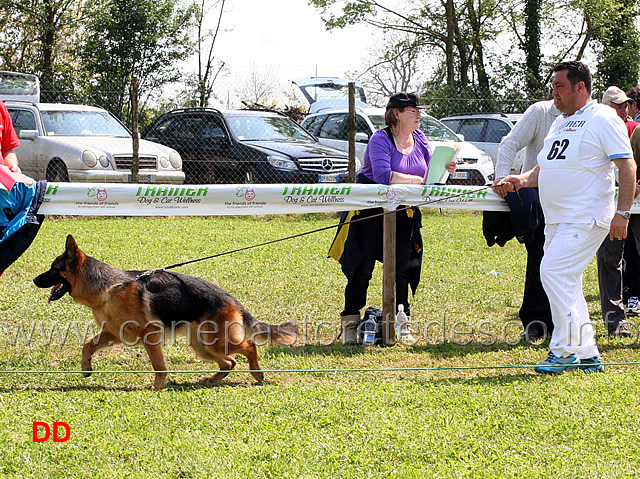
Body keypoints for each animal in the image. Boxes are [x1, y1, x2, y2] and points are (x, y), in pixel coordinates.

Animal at [32, 236, 298, 390]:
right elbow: (88, 344)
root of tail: (233, 299)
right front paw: (86, 368)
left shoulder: (148, 336)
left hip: (214, 341)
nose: (34, 280)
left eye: (53, 269)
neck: (110, 287)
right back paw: (211, 380)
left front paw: (158, 387)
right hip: (202, 345)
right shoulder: (114, 333)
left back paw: (257, 374)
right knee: (230, 361)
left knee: (248, 347)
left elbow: (158, 365)